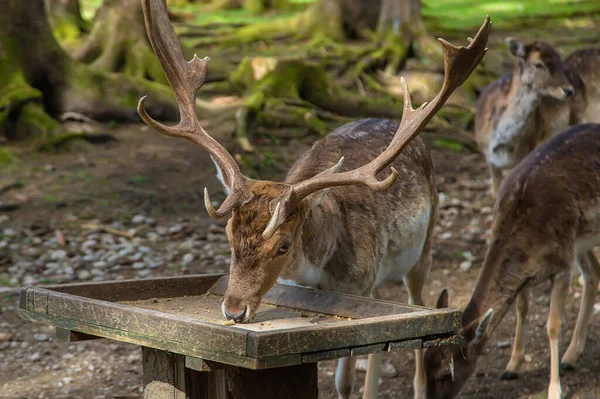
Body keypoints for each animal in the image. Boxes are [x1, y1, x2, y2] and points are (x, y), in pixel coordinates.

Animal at [138, 1, 490, 398]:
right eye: (228, 237)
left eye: (283, 246)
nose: (233, 310)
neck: (316, 271)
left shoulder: (358, 283)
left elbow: (344, 378)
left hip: (425, 245)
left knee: (417, 306)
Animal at [422, 122, 600, 399]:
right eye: (424, 362)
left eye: (445, 374)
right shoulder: (531, 270)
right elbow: (521, 308)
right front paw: (512, 365)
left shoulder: (562, 264)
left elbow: (553, 325)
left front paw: (554, 389)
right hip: (582, 239)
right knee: (593, 275)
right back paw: (571, 355)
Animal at [474, 38, 600, 198]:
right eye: (538, 64)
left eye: (559, 62)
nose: (568, 90)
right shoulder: (488, 157)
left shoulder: (530, 148)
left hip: (579, 114)